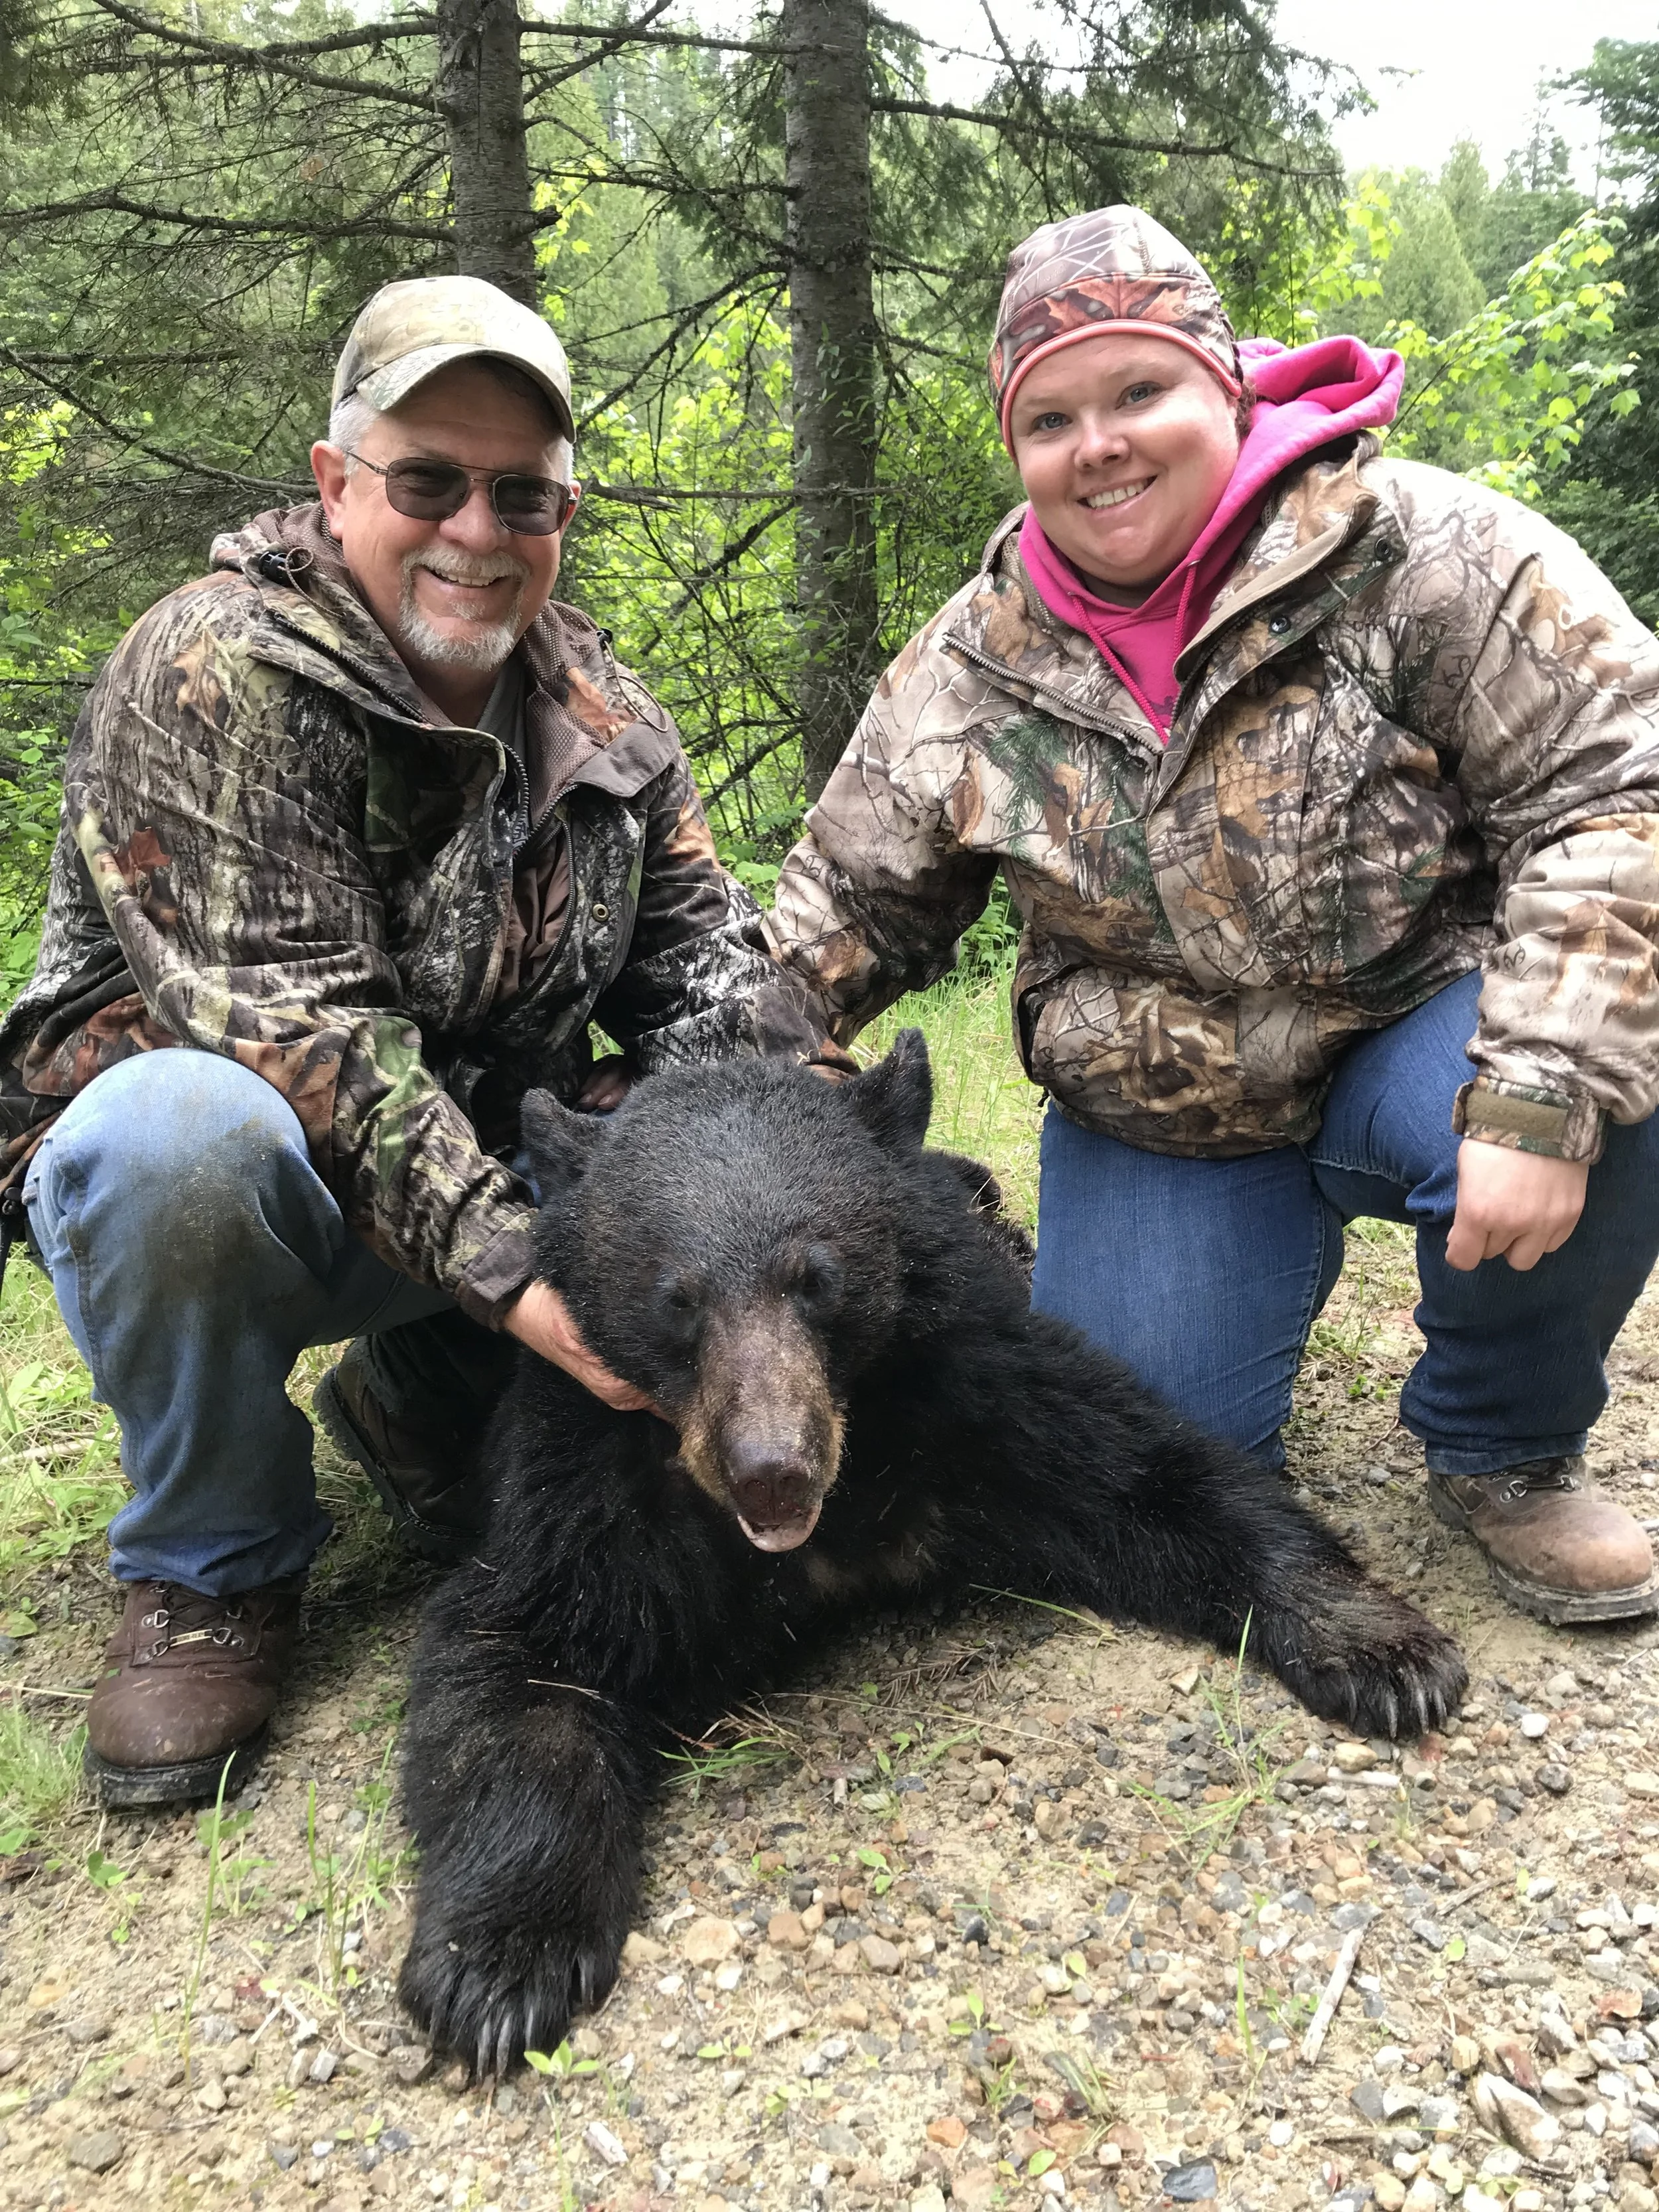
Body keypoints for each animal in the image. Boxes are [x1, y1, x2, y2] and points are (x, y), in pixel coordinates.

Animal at [397, 1032, 1467, 2075]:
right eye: (679, 1301)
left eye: (817, 1279)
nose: (771, 1472)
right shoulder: (588, 1479)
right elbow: (523, 1656)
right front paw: (497, 1963)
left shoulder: (974, 1383)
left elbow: (1155, 1474)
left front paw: (1381, 1649)